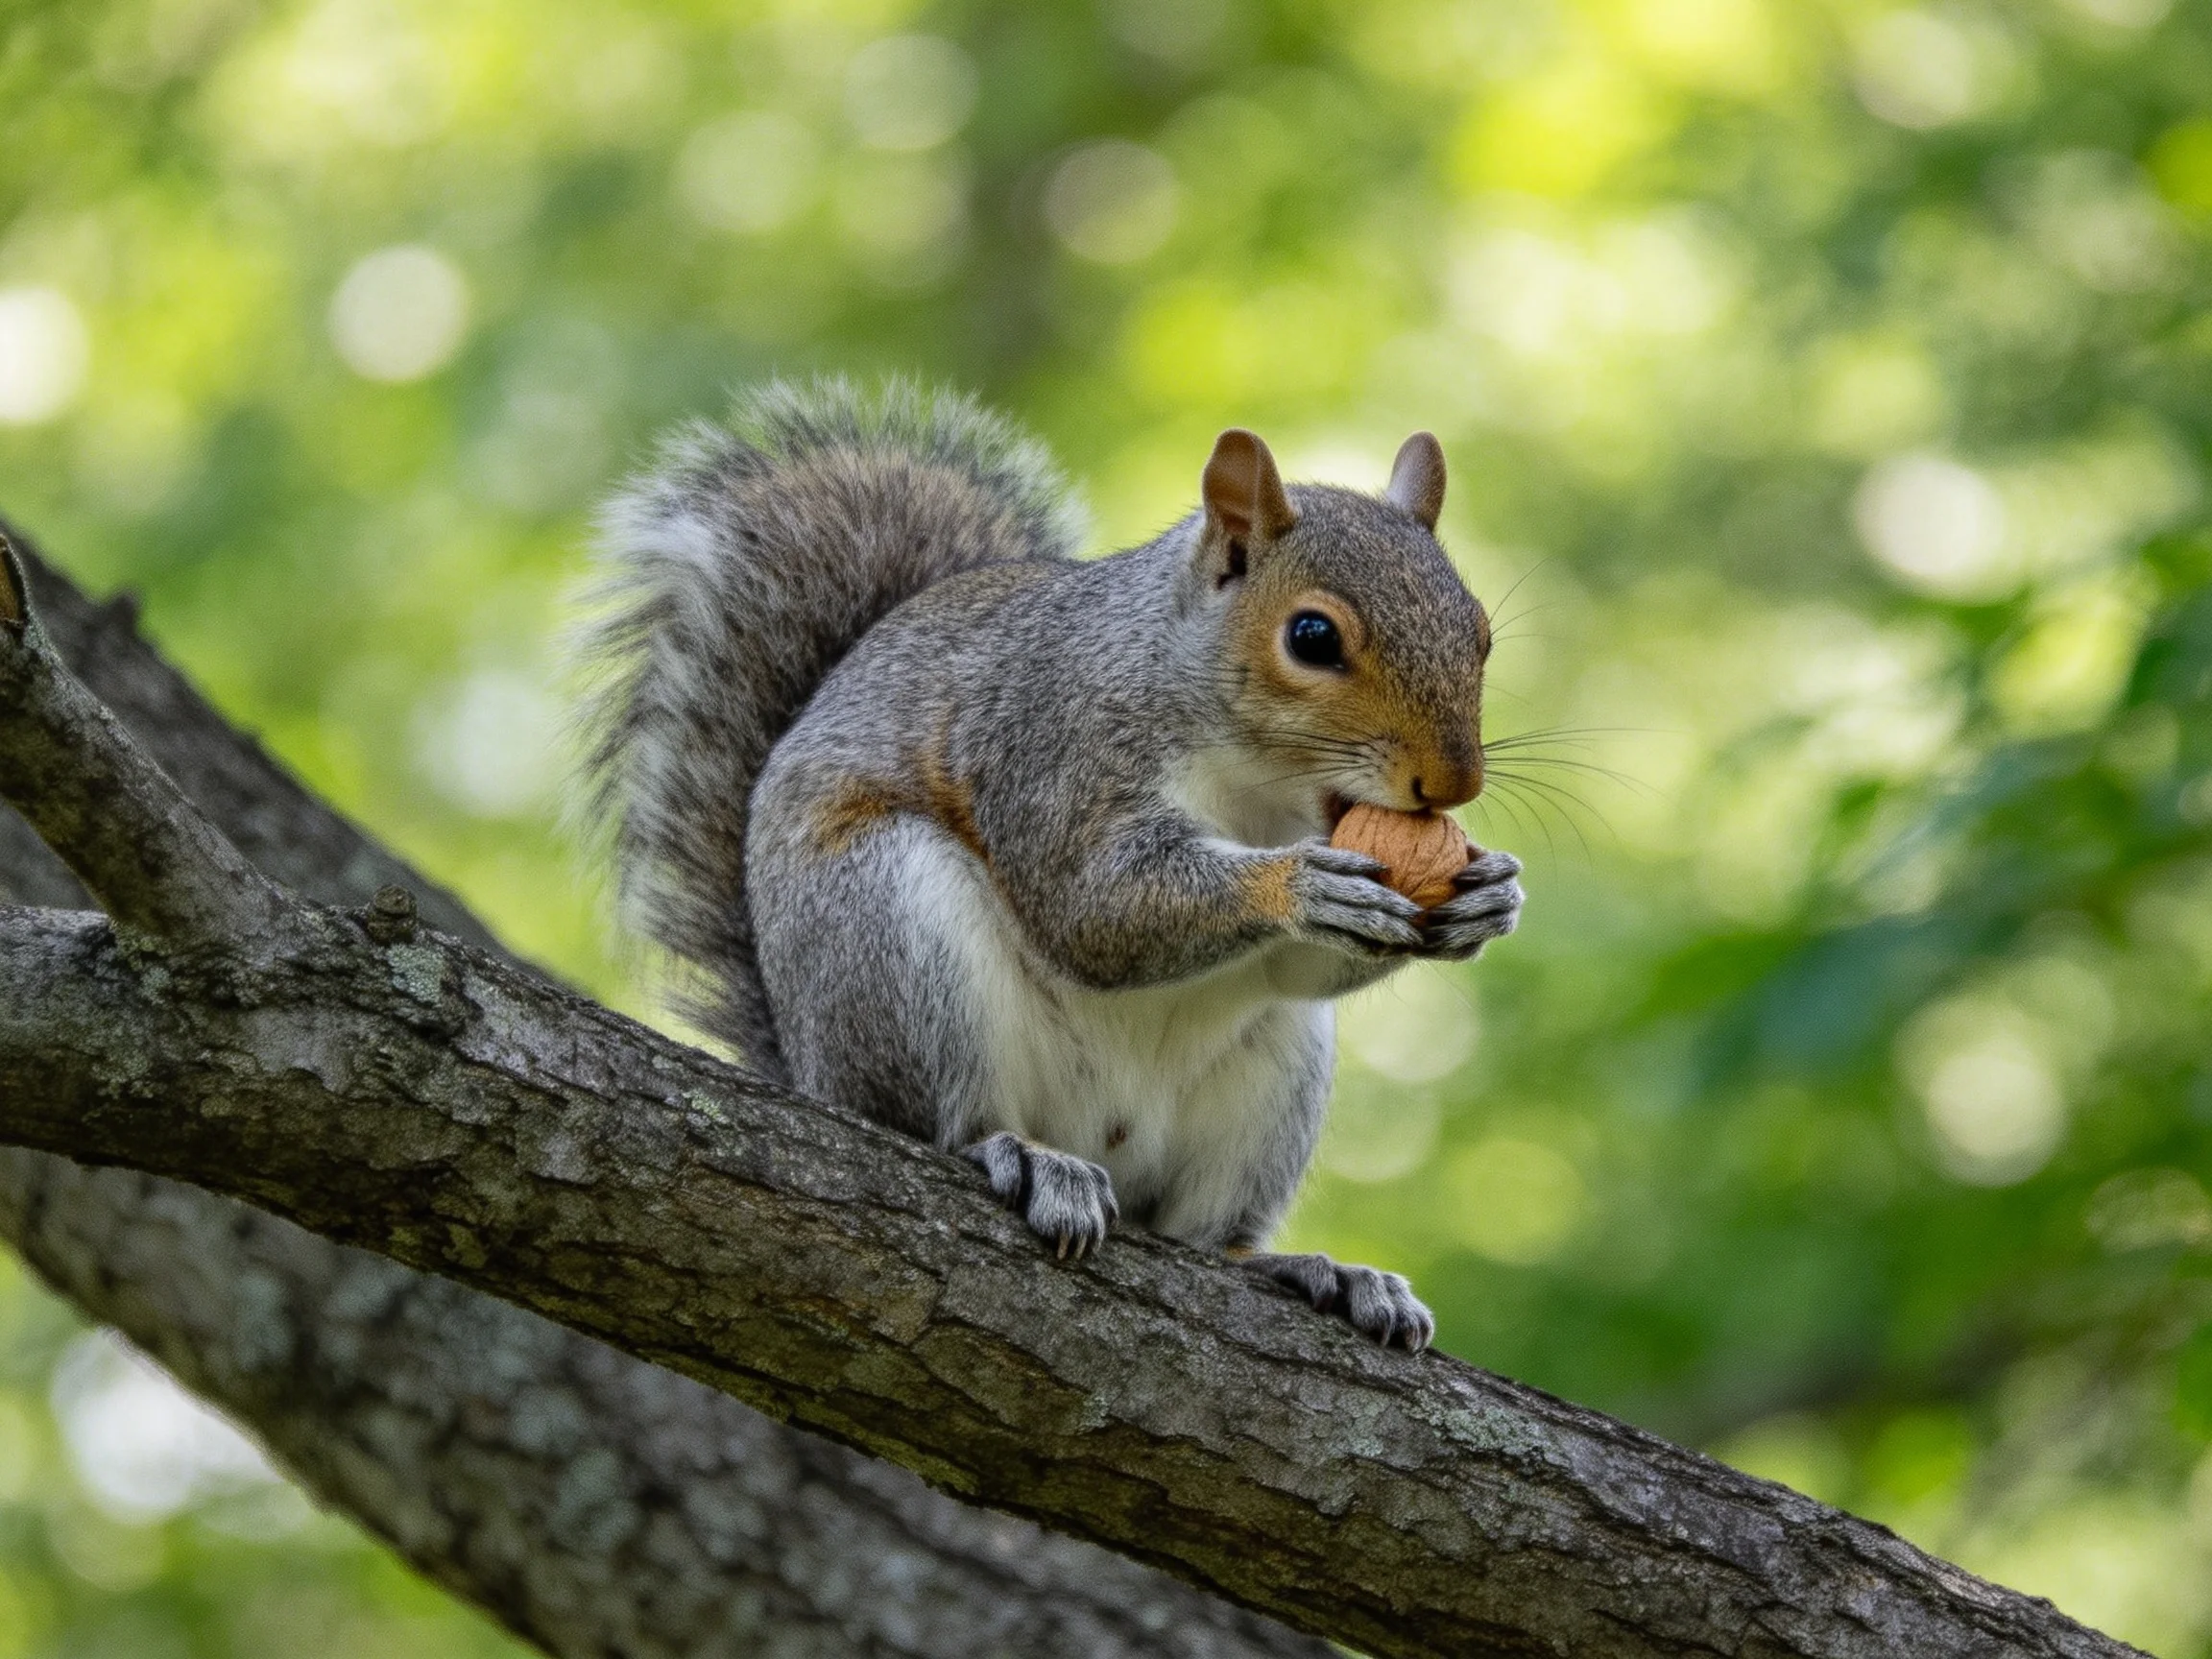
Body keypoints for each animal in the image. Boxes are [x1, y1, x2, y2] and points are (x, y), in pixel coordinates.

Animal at [578, 380, 1523, 1350]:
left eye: (1481, 634)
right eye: (1311, 636)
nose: (1455, 781)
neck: (1257, 789)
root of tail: (811, 1070)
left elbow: (1299, 967)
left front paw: (1487, 899)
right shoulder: (1049, 747)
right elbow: (1090, 908)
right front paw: (1297, 885)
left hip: (1275, 1078)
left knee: (1206, 1234)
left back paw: (1310, 1271)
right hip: (894, 933)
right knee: (939, 1128)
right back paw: (1027, 1159)